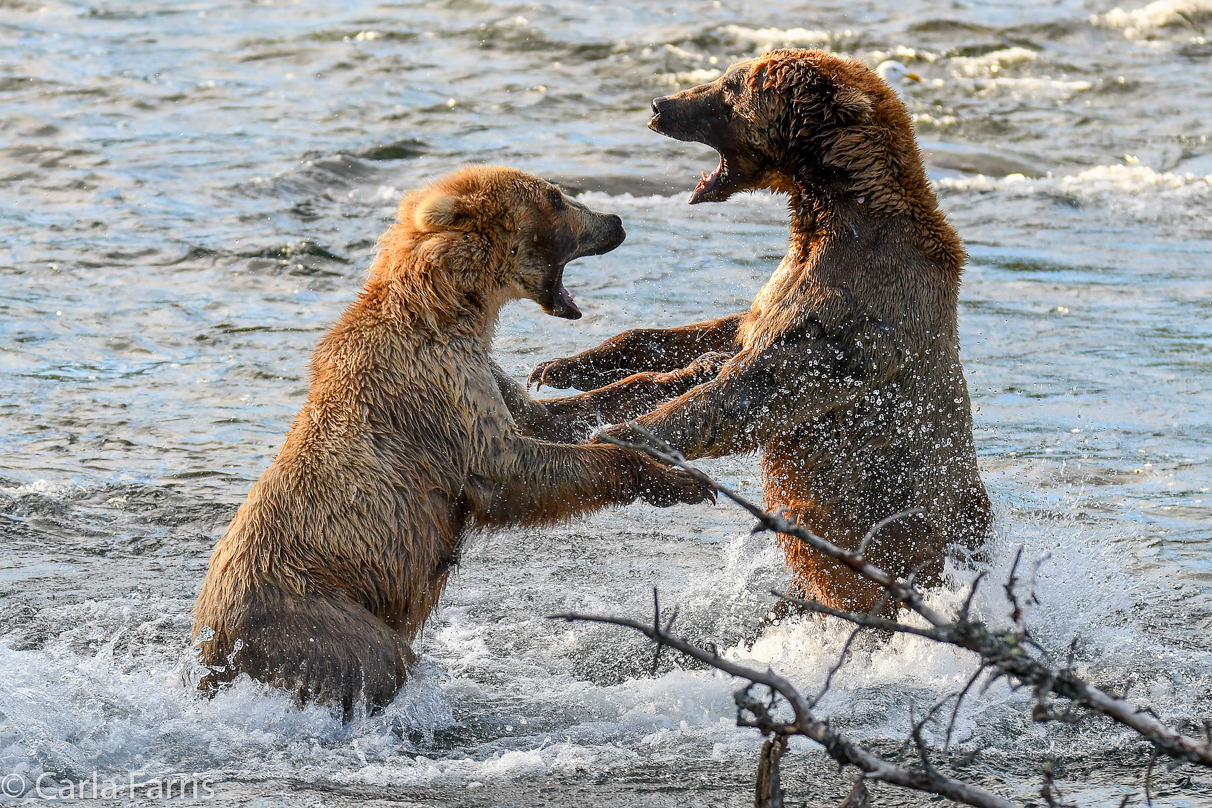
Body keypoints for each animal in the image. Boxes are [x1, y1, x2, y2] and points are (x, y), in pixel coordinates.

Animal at [192, 165, 712, 712]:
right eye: (555, 197)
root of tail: (209, 652)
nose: (615, 221)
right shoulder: (440, 391)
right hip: (314, 618)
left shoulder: (482, 372)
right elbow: (514, 468)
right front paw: (679, 480)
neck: (453, 310)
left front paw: (695, 368)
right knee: (378, 661)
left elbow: (549, 416)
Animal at [530, 50, 993, 615]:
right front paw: (561, 377)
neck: (829, 211)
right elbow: (708, 345)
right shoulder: (782, 293)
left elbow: (747, 392)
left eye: (729, 86)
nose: (660, 104)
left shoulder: (851, 321)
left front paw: (621, 433)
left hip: (909, 540)